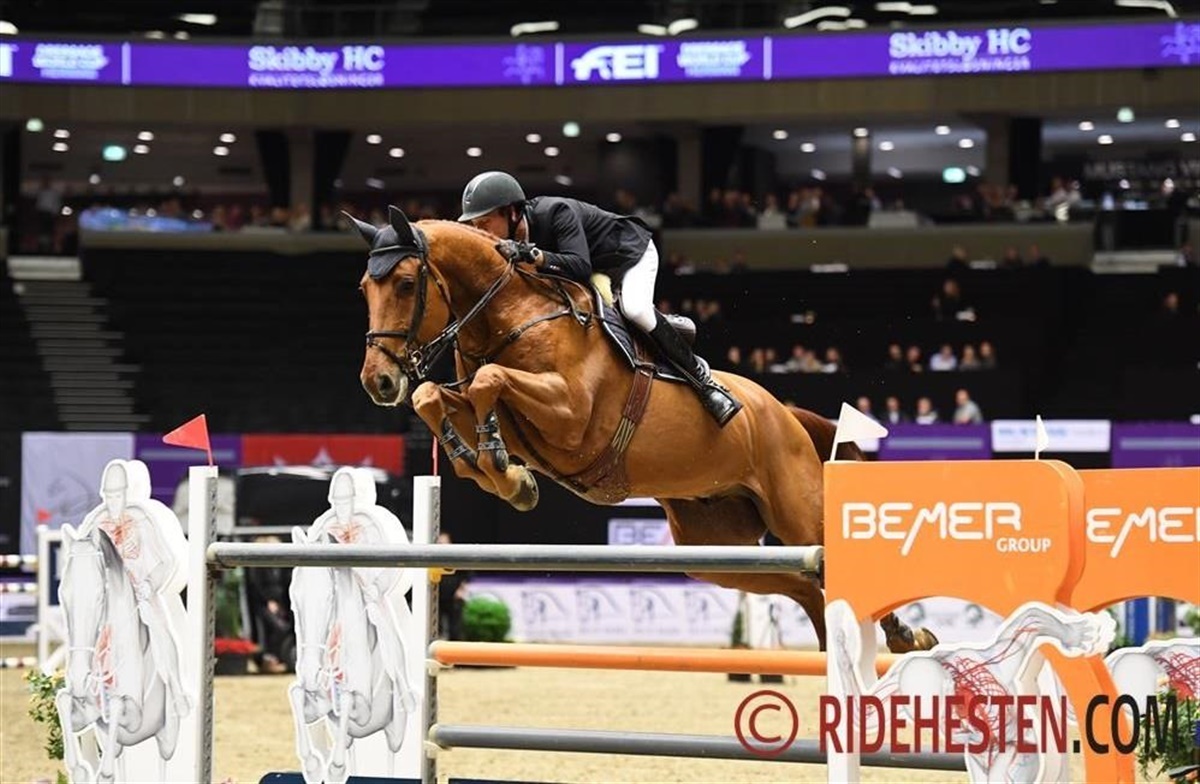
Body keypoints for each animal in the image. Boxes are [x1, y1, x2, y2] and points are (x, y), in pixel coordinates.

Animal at [55, 524, 181, 784]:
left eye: (100, 596)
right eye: (62, 595)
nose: (79, 677)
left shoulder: (135, 718)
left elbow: (115, 705)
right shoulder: (86, 713)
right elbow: (63, 699)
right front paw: (78, 770)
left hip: (167, 738)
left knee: (163, 763)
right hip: (115, 742)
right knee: (119, 757)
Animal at [288, 525, 415, 784]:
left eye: (329, 597)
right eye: (294, 601)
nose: (309, 672)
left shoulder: (364, 711)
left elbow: (346, 698)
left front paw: (335, 770)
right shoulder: (317, 705)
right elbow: (296, 693)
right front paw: (313, 767)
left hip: (395, 731)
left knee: (391, 753)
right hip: (345, 735)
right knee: (349, 745)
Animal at [350, 205, 937, 654]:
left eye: (405, 283)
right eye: (363, 288)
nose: (378, 381)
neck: (513, 313)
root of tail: (787, 413)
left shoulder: (571, 416)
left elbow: (489, 381)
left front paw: (497, 463)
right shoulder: (505, 409)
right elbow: (440, 395)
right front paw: (502, 475)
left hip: (796, 512)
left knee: (833, 561)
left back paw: (905, 636)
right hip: (715, 549)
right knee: (805, 585)